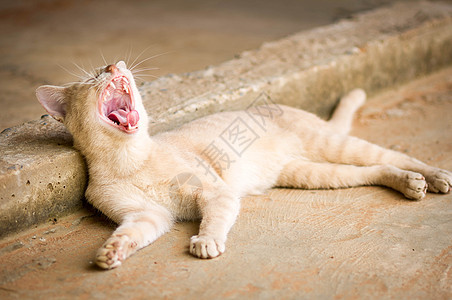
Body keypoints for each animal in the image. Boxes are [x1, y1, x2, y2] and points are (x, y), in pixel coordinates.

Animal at [36, 61, 452, 270]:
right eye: (93, 77)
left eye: (112, 68)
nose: (112, 64)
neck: (131, 160)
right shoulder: (146, 216)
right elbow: (131, 234)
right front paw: (112, 252)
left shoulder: (214, 192)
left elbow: (213, 221)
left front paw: (206, 242)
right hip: (314, 174)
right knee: (373, 172)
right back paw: (410, 184)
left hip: (336, 147)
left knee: (395, 156)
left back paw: (434, 177)